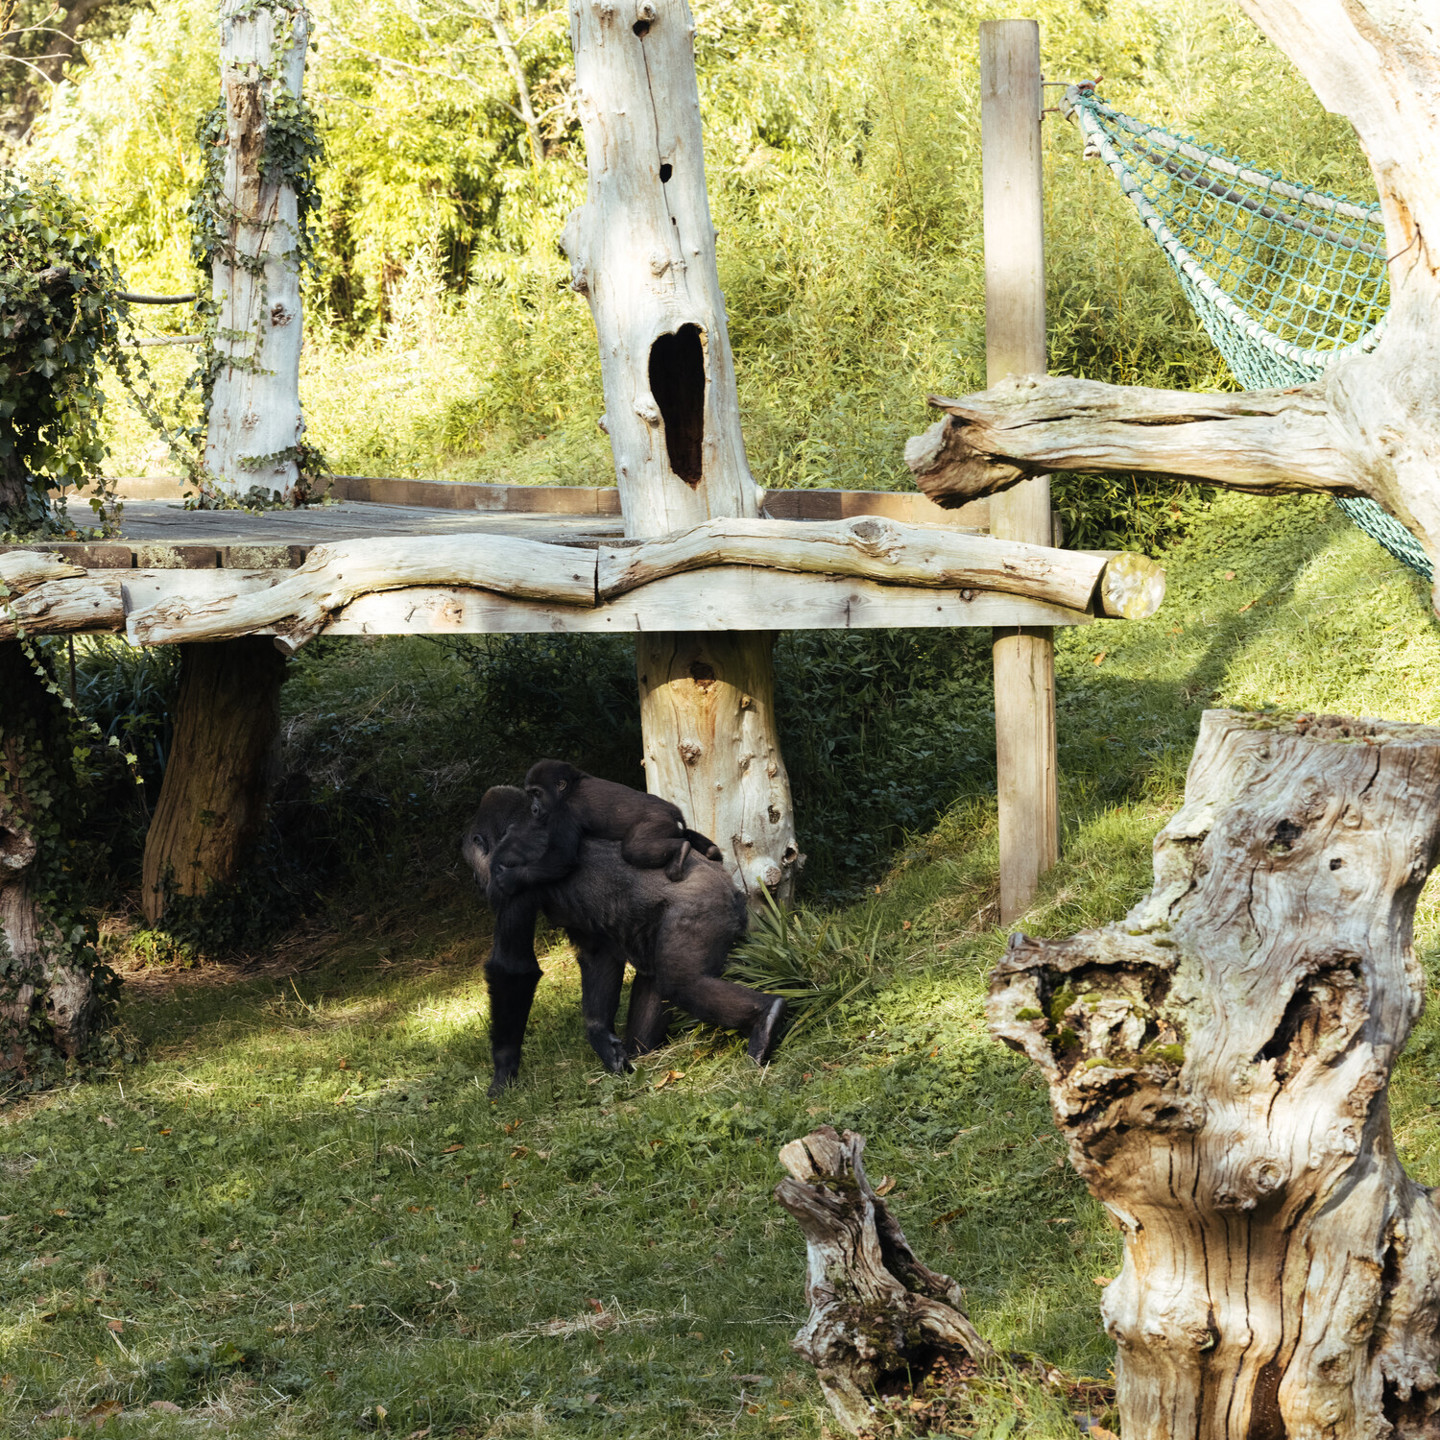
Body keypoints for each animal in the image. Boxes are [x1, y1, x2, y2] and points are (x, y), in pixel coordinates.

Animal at [463, 789, 789, 1088]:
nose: (477, 882)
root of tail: (734, 887)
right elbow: (597, 955)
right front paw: (600, 1036)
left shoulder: (505, 869)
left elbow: (513, 969)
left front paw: (503, 1071)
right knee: (657, 976)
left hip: (704, 907)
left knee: (681, 983)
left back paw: (766, 1018)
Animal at [518, 760, 720, 881]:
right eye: (530, 794)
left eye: (537, 793)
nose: (533, 809)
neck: (569, 788)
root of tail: (673, 810)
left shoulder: (563, 811)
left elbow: (561, 858)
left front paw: (513, 879)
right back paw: (710, 851)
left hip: (659, 820)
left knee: (633, 848)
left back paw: (681, 850)